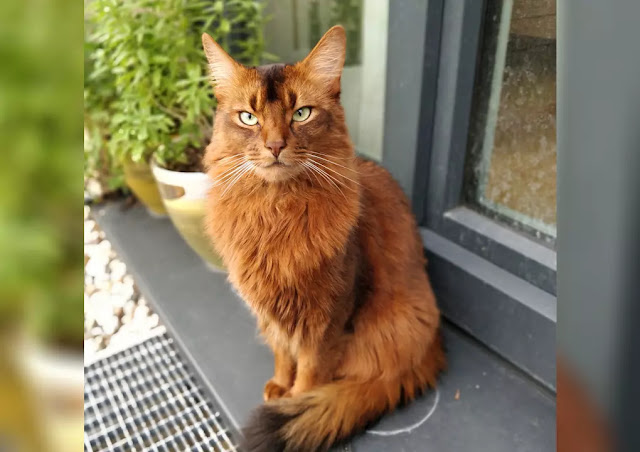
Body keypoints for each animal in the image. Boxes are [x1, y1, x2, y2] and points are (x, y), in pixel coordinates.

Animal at [202, 25, 445, 452]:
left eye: (301, 113)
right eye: (248, 117)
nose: (275, 146)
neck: (275, 215)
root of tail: (432, 346)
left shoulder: (327, 318)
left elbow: (311, 371)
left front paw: (296, 399)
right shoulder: (272, 312)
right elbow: (283, 353)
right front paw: (279, 386)